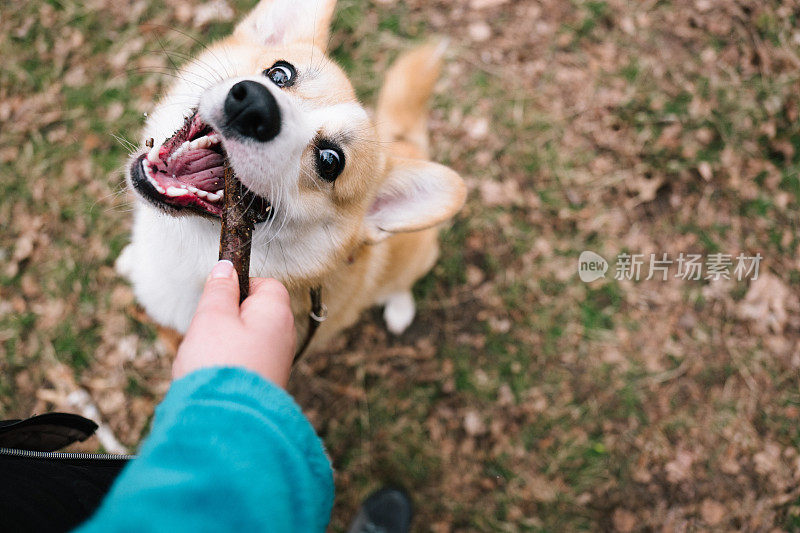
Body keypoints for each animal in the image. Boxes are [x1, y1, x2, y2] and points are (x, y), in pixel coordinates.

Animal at [115, 1, 466, 358]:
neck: (182, 247)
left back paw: (399, 309)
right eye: (280, 73)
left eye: (330, 161)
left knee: (401, 285)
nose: (255, 106)